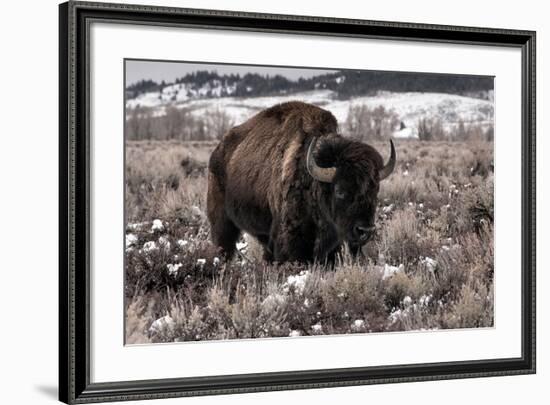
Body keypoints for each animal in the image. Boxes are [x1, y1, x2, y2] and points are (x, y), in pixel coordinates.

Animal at [207, 101, 396, 262]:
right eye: (340, 191)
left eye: (375, 190)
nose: (365, 231)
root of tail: (218, 150)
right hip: (223, 222)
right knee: (224, 244)